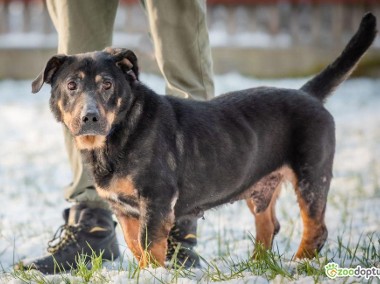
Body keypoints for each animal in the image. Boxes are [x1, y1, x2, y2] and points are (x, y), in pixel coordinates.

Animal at [32, 12, 378, 266]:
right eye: (72, 85)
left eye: (106, 85)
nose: (89, 117)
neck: (119, 133)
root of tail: (308, 94)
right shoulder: (125, 209)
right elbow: (135, 245)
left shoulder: (157, 200)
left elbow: (149, 247)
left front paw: (153, 274)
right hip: (261, 184)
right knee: (269, 224)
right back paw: (256, 265)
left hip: (311, 175)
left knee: (316, 227)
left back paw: (299, 264)